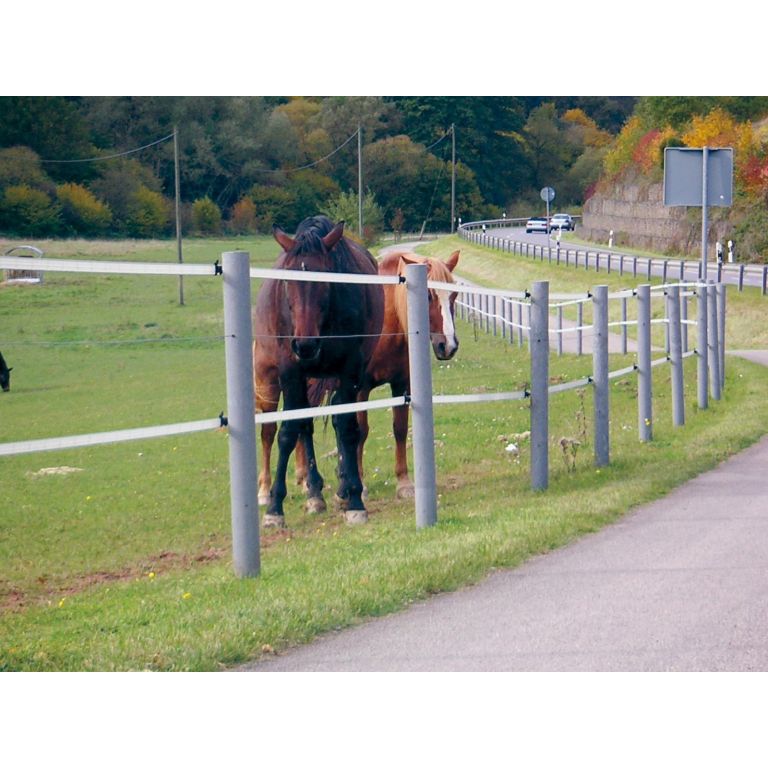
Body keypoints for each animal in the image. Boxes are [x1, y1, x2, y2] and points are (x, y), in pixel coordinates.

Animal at [252, 216, 384, 528]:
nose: (305, 345)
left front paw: (354, 499)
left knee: (332, 419)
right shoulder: (291, 372)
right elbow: (289, 432)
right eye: (287, 281)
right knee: (289, 427)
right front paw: (275, 508)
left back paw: (338, 489)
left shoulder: (350, 372)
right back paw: (301, 492)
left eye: (325, 280)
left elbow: (347, 427)